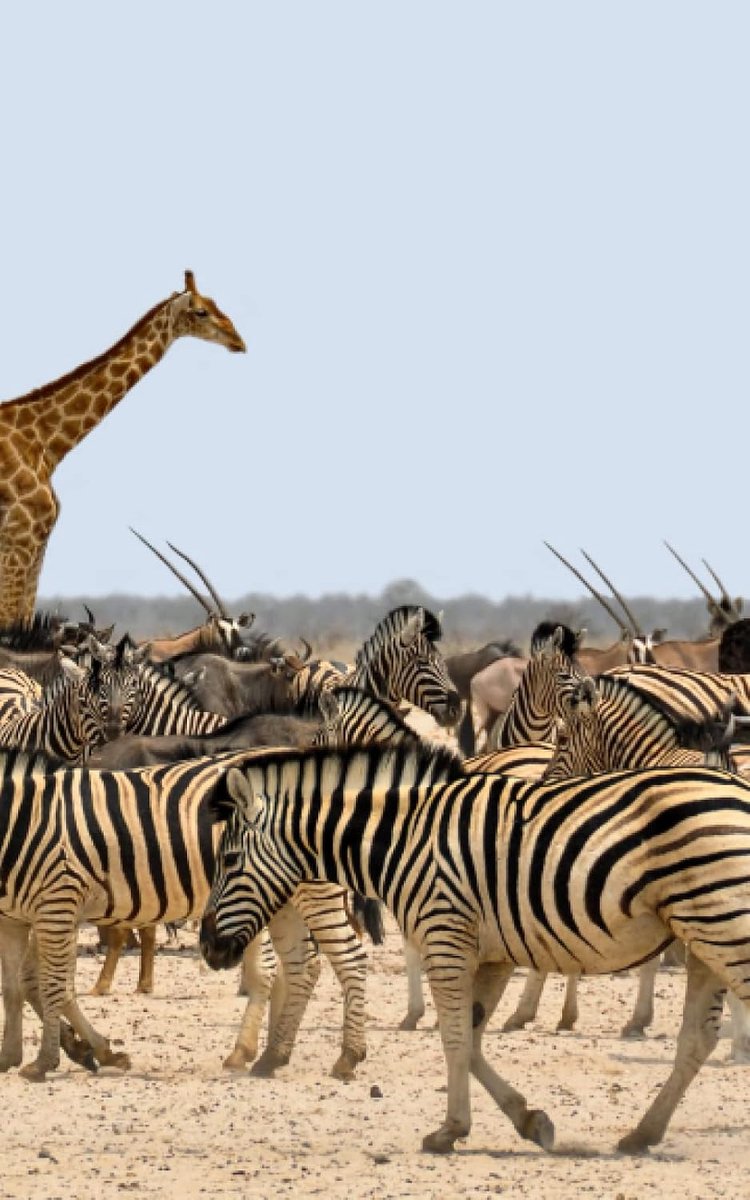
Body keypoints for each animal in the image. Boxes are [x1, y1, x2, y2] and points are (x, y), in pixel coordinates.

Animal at [0, 747, 381, 1083]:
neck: (21, 821)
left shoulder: (58, 905)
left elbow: (51, 985)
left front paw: (49, 1060)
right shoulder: (15, 919)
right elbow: (16, 986)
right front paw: (18, 1055)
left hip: (313, 892)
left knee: (347, 959)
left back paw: (344, 1057)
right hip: (279, 899)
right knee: (303, 966)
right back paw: (270, 1054)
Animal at [200, 740, 750, 1156]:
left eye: (228, 861)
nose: (208, 947)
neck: (404, 838)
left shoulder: (446, 937)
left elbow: (455, 1039)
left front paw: (450, 1130)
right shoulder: (492, 953)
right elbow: (473, 1037)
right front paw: (529, 1119)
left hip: (723, 925)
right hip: (703, 935)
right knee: (696, 1040)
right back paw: (642, 1134)